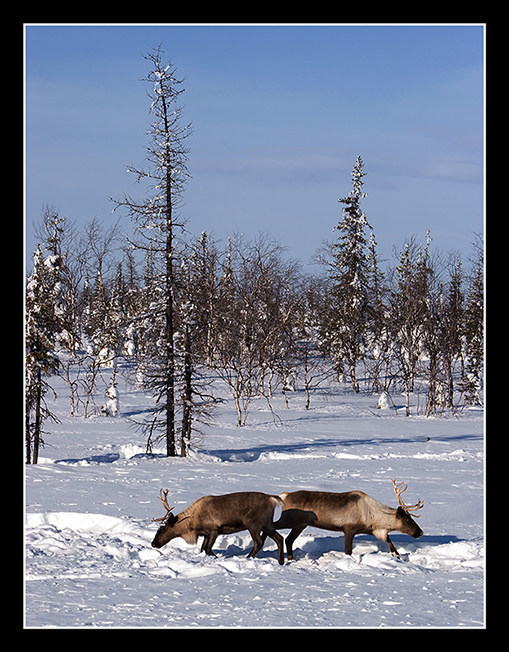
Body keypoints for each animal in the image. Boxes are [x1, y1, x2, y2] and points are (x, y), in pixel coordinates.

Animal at [151, 489, 285, 564]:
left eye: (163, 528)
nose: (153, 543)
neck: (191, 524)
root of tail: (272, 498)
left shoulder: (214, 530)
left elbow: (208, 549)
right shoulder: (205, 533)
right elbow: (203, 548)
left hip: (253, 524)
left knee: (259, 542)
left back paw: (247, 558)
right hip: (267, 524)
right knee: (279, 538)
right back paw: (281, 562)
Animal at [272, 479, 424, 561]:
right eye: (409, 520)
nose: (420, 532)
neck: (373, 517)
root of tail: (284, 496)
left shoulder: (377, 532)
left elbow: (393, 547)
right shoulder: (349, 529)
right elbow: (348, 551)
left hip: (300, 525)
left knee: (289, 540)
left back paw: (290, 558)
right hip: (288, 520)